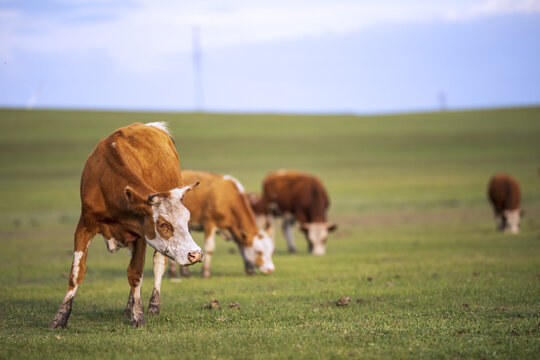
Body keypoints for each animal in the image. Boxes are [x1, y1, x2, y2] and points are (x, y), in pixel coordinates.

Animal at [50, 121, 202, 330]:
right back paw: (130, 305)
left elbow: (135, 274)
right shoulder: (84, 226)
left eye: (187, 220)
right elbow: (76, 273)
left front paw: (138, 317)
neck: (106, 181)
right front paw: (60, 318)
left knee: (158, 263)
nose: (196, 254)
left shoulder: (141, 235)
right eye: (163, 224)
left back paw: (153, 305)